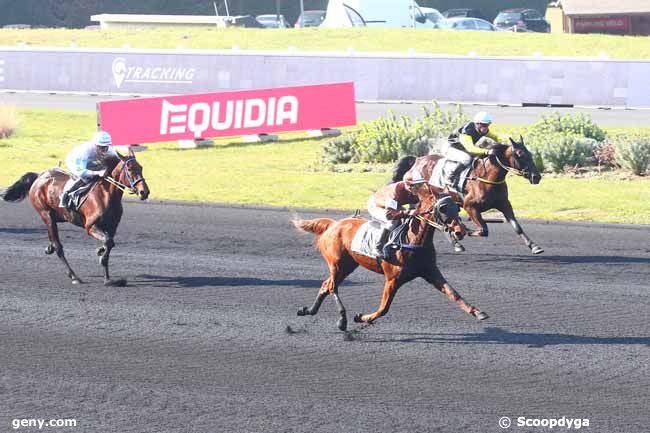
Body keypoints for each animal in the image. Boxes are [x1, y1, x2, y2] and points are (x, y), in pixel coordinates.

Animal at [0, 148, 149, 286]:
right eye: (129, 169)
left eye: (141, 167)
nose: (144, 192)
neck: (106, 195)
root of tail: (39, 176)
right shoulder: (90, 226)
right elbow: (108, 242)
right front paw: (107, 277)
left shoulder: (112, 226)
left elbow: (109, 243)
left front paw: (103, 262)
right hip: (45, 213)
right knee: (59, 247)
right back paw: (74, 276)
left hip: (58, 215)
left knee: (52, 235)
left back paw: (50, 247)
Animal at [290, 187, 486, 332]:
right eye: (443, 208)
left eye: (458, 207)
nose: (460, 232)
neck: (411, 240)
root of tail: (333, 224)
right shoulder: (392, 279)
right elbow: (384, 308)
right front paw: (361, 317)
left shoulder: (430, 271)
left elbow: (454, 294)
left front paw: (478, 312)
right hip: (338, 264)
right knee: (332, 286)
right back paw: (342, 319)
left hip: (348, 265)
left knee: (326, 285)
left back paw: (308, 310)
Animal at [392, 137, 544, 255]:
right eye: (520, 154)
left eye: (530, 153)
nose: (536, 177)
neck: (486, 178)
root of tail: (416, 161)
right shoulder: (470, 206)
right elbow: (483, 230)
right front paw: (460, 231)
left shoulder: (504, 204)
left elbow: (516, 226)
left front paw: (534, 246)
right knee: (435, 220)